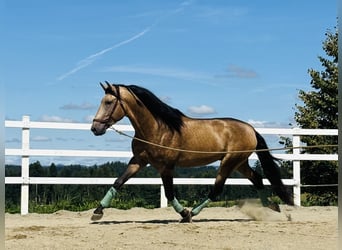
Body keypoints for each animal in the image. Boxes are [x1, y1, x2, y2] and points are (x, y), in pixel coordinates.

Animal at [91, 81, 294, 222]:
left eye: (108, 102)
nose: (95, 128)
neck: (157, 129)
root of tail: (251, 129)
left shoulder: (166, 167)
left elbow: (169, 193)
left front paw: (184, 213)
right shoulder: (138, 161)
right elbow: (118, 182)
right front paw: (98, 212)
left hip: (229, 162)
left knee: (216, 189)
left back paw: (193, 213)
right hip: (239, 163)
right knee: (257, 179)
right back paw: (272, 207)